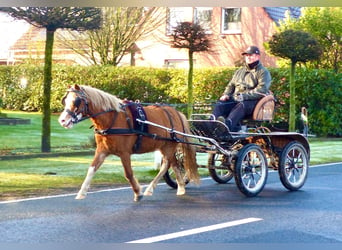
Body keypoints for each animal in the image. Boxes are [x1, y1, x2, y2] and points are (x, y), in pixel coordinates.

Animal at [57, 84, 199, 201]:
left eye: (76, 100)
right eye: (65, 100)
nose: (62, 120)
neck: (112, 119)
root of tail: (176, 112)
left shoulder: (124, 153)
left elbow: (128, 173)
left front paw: (137, 192)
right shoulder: (102, 151)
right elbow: (91, 169)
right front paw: (82, 192)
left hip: (169, 146)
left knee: (169, 164)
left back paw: (172, 187)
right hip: (165, 145)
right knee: (171, 164)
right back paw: (173, 188)